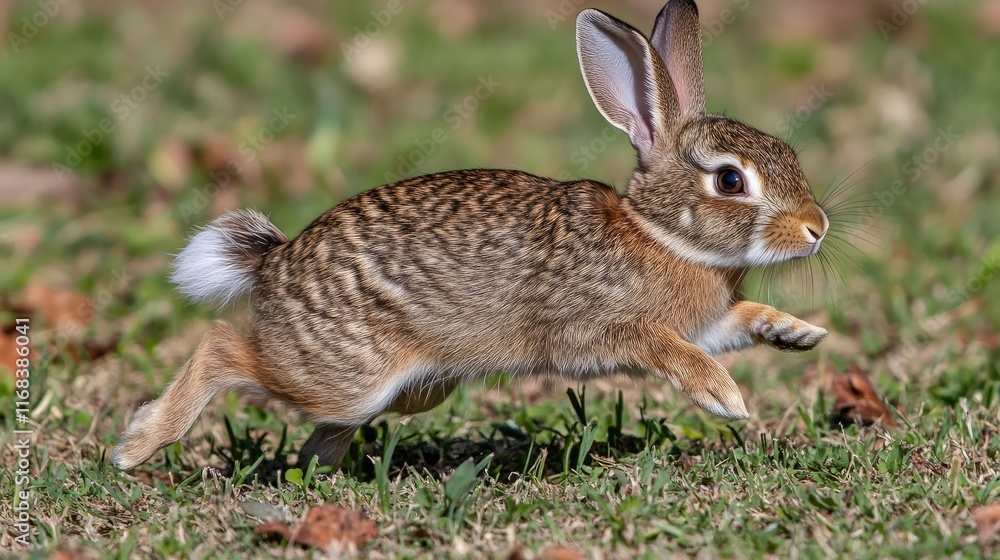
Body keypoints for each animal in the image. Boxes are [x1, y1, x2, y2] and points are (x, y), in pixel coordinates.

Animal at [112, 0, 829, 471]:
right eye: (730, 181)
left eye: (786, 152)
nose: (816, 229)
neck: (659, 233)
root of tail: (273, 262)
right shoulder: (596, 328)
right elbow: (665, 347)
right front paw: (723, 396)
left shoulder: (707, 320)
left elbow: (741, 317)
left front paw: (798, 333)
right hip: (343, 375)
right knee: (223, 348)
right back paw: (138, 444)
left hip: (402, 393)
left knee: (321, 430)